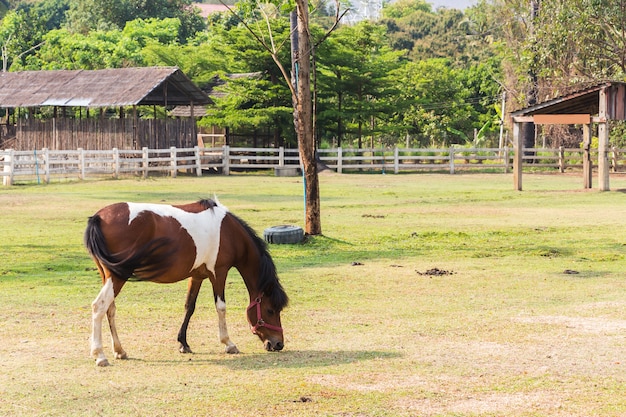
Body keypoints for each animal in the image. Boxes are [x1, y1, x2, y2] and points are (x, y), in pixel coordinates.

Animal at [83, 197, 288, 364]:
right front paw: (228, 343)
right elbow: (221, 308)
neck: (229, 231)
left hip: (108, 276)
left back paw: (119, 350)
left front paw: (183, 343)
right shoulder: (218, 273)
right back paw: (100, 355)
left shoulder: (196, 276)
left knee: (110, 309)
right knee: (99, 306)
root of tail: (99, 217)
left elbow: (189, 306)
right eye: (270, 310)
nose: (278, 344)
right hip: (117, 277)